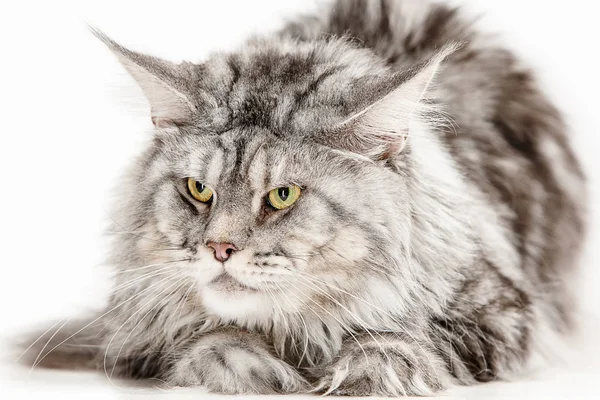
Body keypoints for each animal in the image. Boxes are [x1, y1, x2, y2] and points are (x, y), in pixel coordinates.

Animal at [21, 0, 588, 396]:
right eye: (198, 190)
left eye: (282, 195)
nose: (219, 249)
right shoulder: (136, 334)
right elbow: (207, 340)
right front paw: (255, 370)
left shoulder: (504, 314)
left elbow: (403, 341)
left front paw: (359, 372)